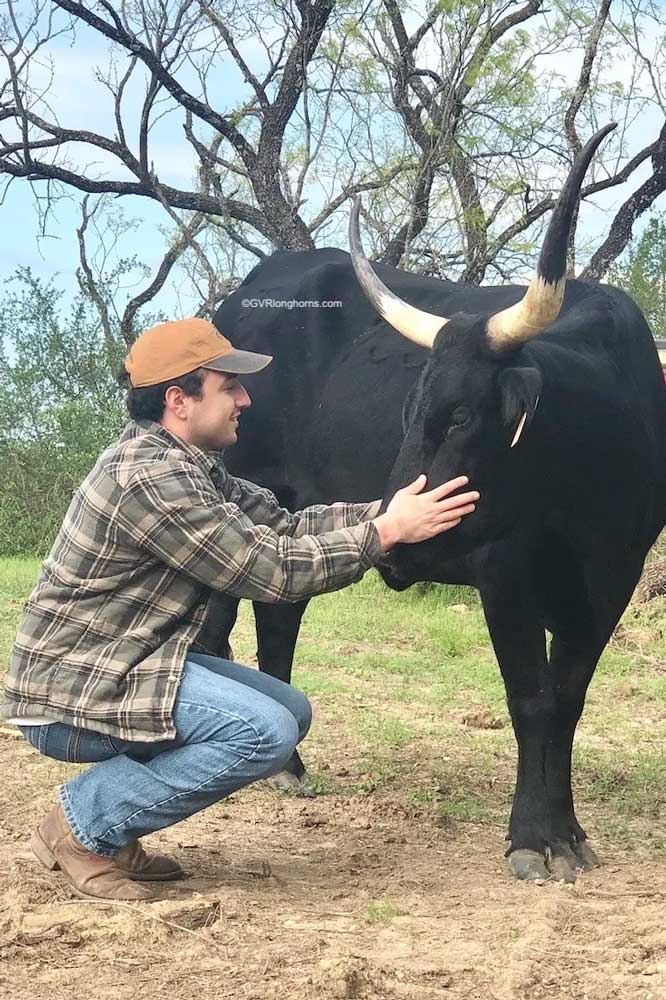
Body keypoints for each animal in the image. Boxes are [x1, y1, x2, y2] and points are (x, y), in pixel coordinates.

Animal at [211, 127, 664, 884]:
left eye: (458, 417)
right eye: (407, 411)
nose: (395, 541)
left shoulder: (613, 579)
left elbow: (567, 700)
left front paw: (570, 834)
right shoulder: (506, 573)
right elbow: (531, 698)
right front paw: (532, 839)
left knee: (278, 619)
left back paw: (290, 768)